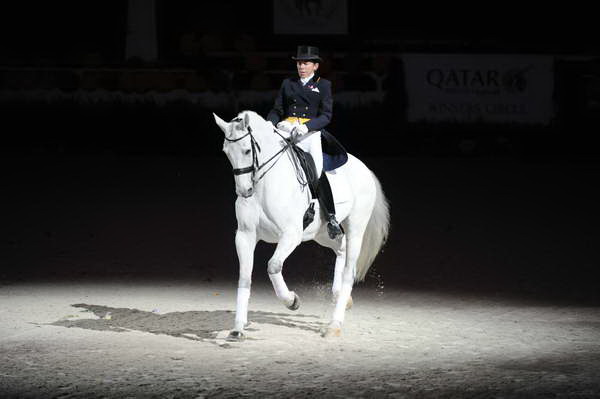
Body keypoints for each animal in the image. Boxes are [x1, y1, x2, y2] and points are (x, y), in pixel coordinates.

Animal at [213, 110, 392, 340]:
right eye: (226, 152)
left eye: (247, 150)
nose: (244, 191)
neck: (265, 183)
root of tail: (365, 169)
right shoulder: (244, 235)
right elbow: (244, 278)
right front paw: (237, 329)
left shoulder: (291, 234)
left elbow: (273, 266)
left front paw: (292, 301)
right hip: (323, 233)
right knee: (341, 249)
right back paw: (339, 296)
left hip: (356, 228)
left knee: (349, 269)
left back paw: (335, 324)